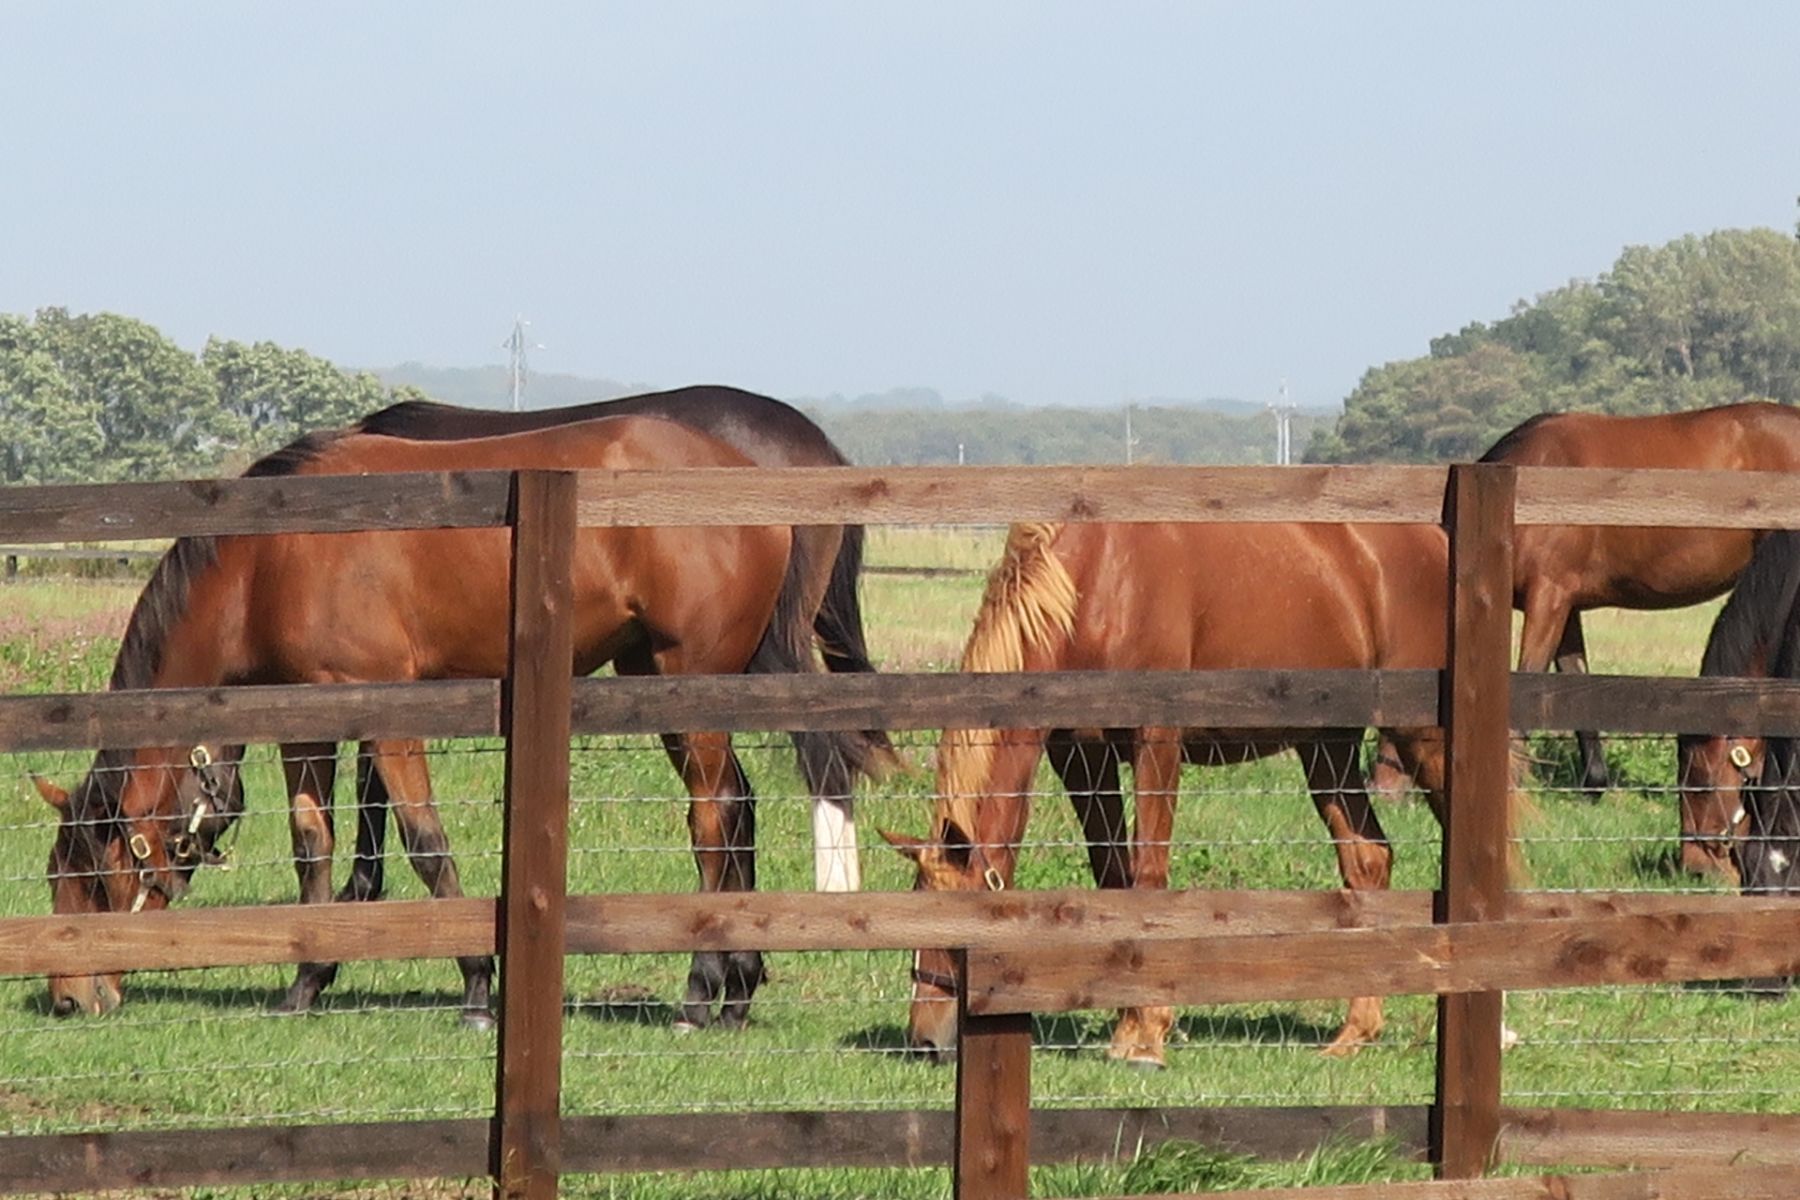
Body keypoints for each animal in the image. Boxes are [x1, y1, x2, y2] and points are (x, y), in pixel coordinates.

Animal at [38, 417, 889, 1029]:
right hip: (657, 682)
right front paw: (306, 980)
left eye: (92, 877)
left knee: (712, 819)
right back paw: (737, 986)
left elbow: (423, 841)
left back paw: (699, 990)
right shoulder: (307, 726)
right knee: (736, 806)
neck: (273, 558)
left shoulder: (386, 716)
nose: (69, 995)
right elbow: (314, 847)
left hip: (688, 681)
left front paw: (478, 988)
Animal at [882, 521, 1519, 1065]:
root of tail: (1440, 546)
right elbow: (1111, 878)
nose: (925, 1042)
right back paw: (1354, 1033)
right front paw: (1126, 1026)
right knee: (1367, 860)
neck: (1095, 586)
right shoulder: (1080, 757)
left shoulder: (1155, 744)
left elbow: (1148, 879)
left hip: (1427, 740)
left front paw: (1149, 1034)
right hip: (1327, 747)